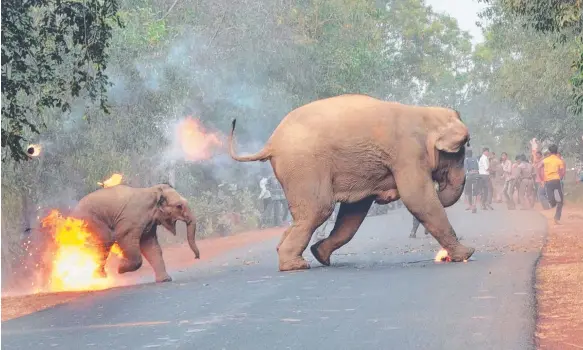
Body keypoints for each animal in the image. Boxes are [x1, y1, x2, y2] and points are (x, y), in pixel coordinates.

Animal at [71, 185, 201, 284]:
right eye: (179, 206)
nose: (196, 257)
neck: (154, 191)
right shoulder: (131, 220)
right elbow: (124, 238)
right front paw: (120, 268)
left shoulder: (149, 224)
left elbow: (151, 246)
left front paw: (165, 280)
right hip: (90, 220)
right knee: (107, 238)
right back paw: (98, 277)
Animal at [228, 94, 474, 272]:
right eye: (460, 154)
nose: (441, 188)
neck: (424, 113)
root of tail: (271, 143)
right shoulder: (408, 153)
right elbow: (417, 198)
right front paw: (466, 254)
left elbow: (354, 212)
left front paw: (320, 253)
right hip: (304, 166)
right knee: (319, 209)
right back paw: (295, 265)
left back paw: (301, 256)